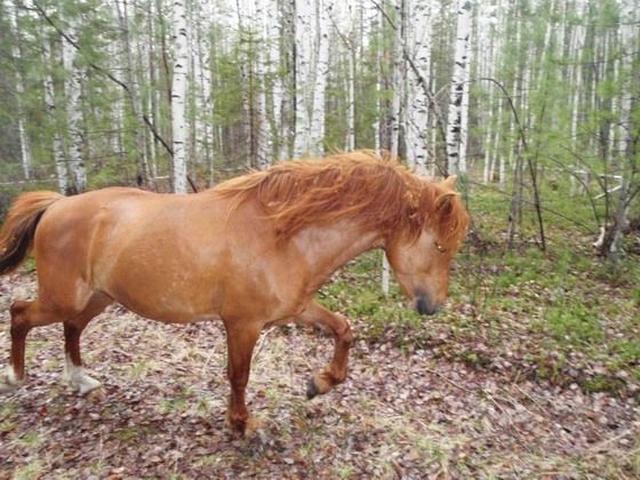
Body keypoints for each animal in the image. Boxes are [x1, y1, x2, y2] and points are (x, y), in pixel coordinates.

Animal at [0, 151, 469, 435]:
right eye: (439, 246)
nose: (434, 307)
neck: (283, 235)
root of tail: (57, 205)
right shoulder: (242, 324)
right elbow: (239, 375)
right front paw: (243, 424)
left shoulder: (294, 310)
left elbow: (343, 329)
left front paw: (319, 384)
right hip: (64, 295)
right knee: (21, 312)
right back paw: (17, 377)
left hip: (98, 297)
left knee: (71, 328)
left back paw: (80, 380)